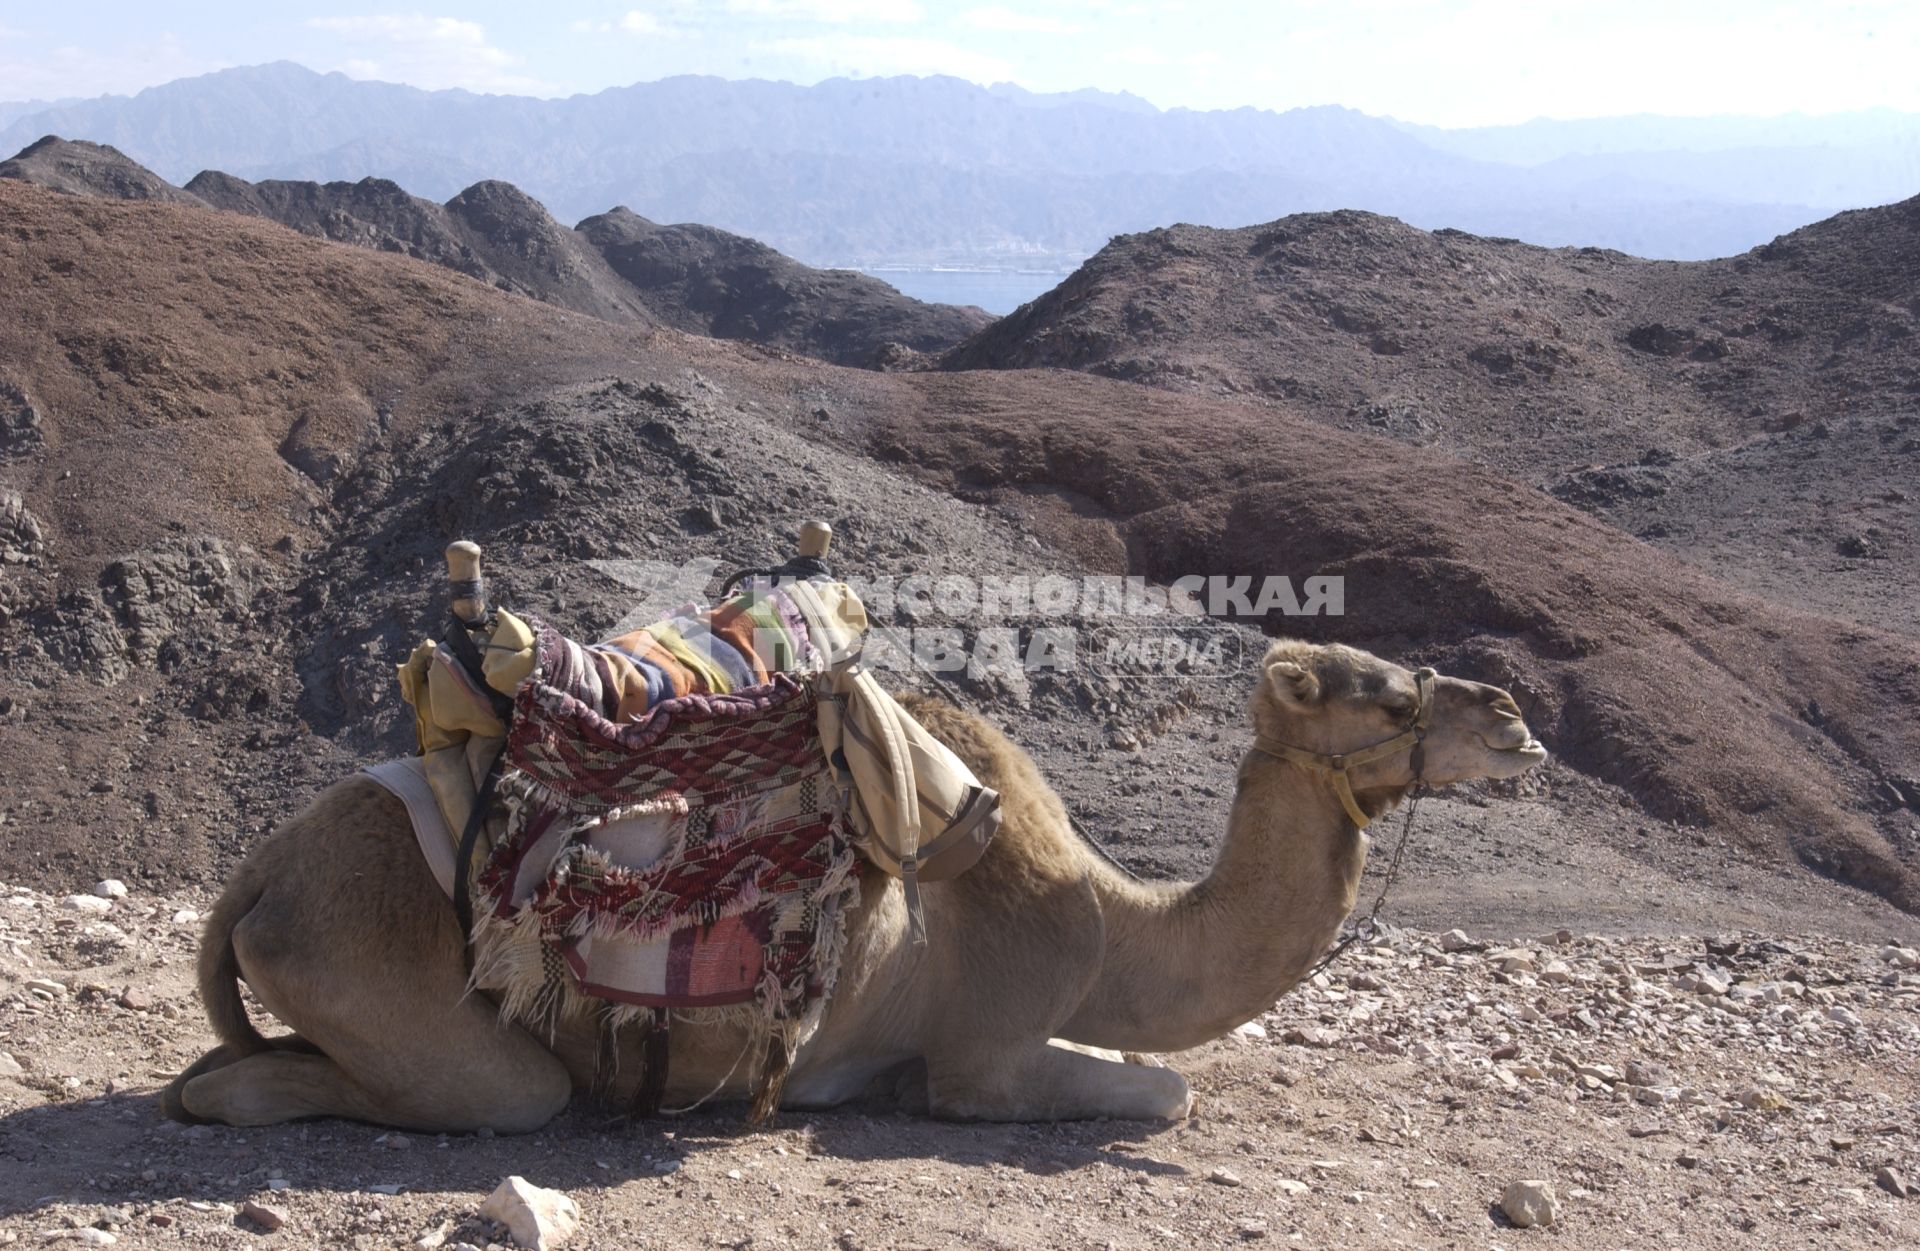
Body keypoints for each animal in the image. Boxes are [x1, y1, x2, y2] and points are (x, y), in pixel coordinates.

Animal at [165, 640, 1543, 1128]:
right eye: (1389, 696)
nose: (1516, 716)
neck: (1109, 928)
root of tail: (257, 877)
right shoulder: (984, 1055)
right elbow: (1166, 1091)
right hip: (401, 992)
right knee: (494, 1097)